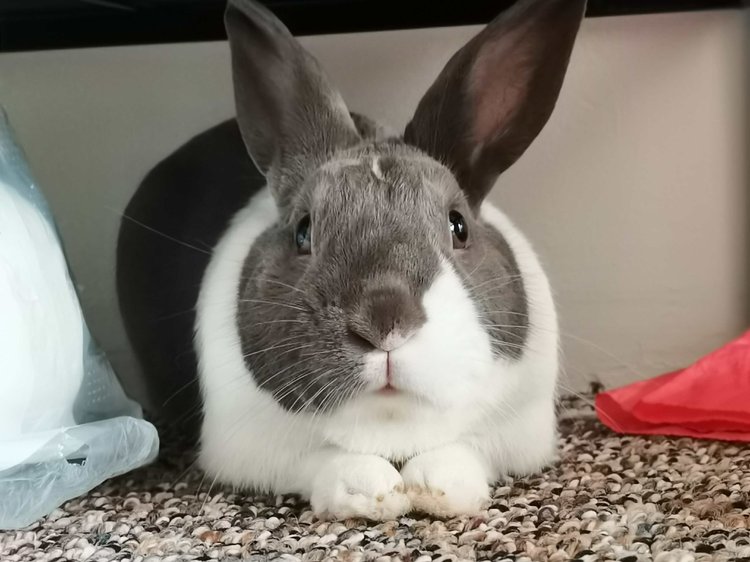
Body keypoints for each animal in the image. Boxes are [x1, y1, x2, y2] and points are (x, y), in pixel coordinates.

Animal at [117, 0, 586, 520]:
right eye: (303, 231)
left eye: (458, 225)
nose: (385, 323)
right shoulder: (251, 448)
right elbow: (324, 459)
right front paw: (373, 491)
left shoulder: (518, 430)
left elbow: (467, 451)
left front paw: (436, 486)